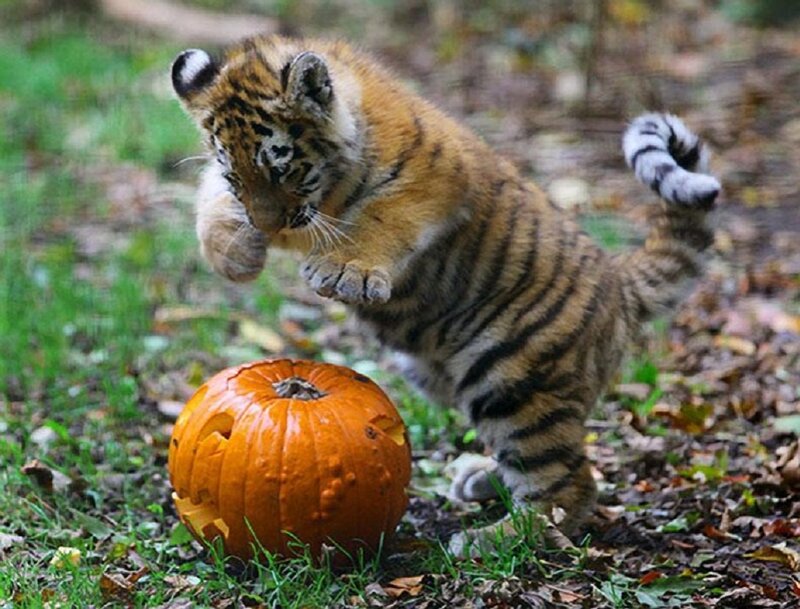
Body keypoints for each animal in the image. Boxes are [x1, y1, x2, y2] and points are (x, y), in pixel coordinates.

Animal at [171, 35, 720, 553]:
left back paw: (492, 538)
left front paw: (344, 268)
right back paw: (483, 482)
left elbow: (382, 214)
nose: (265, 226)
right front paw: (233, 253)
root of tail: (619, 282)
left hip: (513, 375)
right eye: (236, 174)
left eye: (279, 169)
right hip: (444, 376)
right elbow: (210, 198)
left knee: (569, 486)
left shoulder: (437, 175)